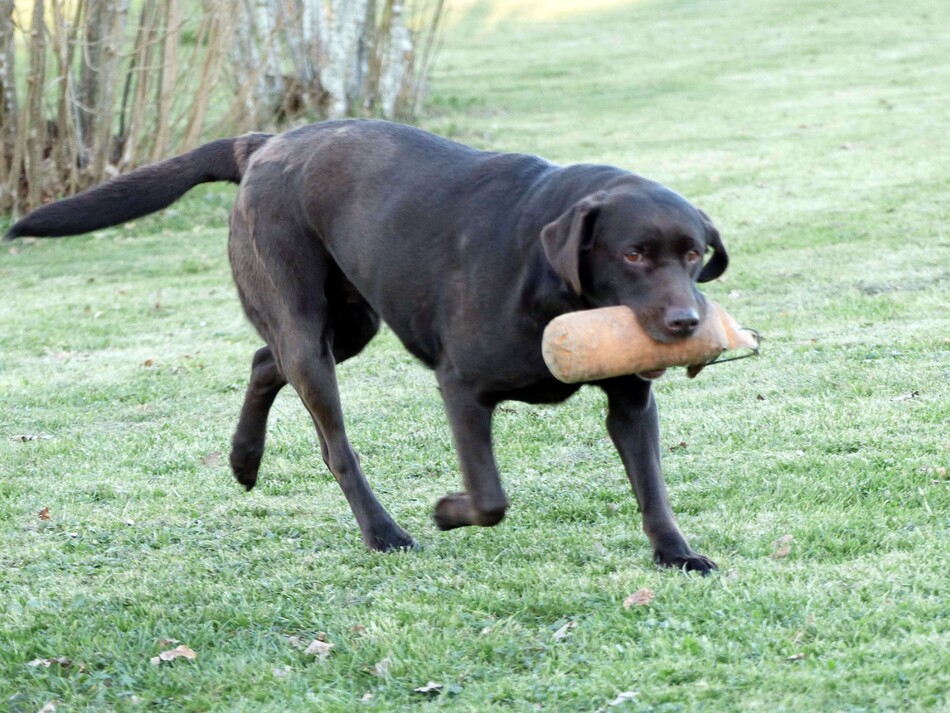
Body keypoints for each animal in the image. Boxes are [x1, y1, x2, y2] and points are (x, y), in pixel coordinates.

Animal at [5, 118, 728, 572]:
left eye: (693, 253)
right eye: (632, 254)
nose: (687, 323)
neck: (551, 281)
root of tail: (265, 142)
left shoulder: (631, 402)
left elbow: (653, 485)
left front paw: (675, 553)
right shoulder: (463, 387)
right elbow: (489, 498)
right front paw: (447, 511)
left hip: (349, 325)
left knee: (263, 360)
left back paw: (243, 459)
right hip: (309, 331)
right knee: (332, 443)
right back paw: (382, 532)